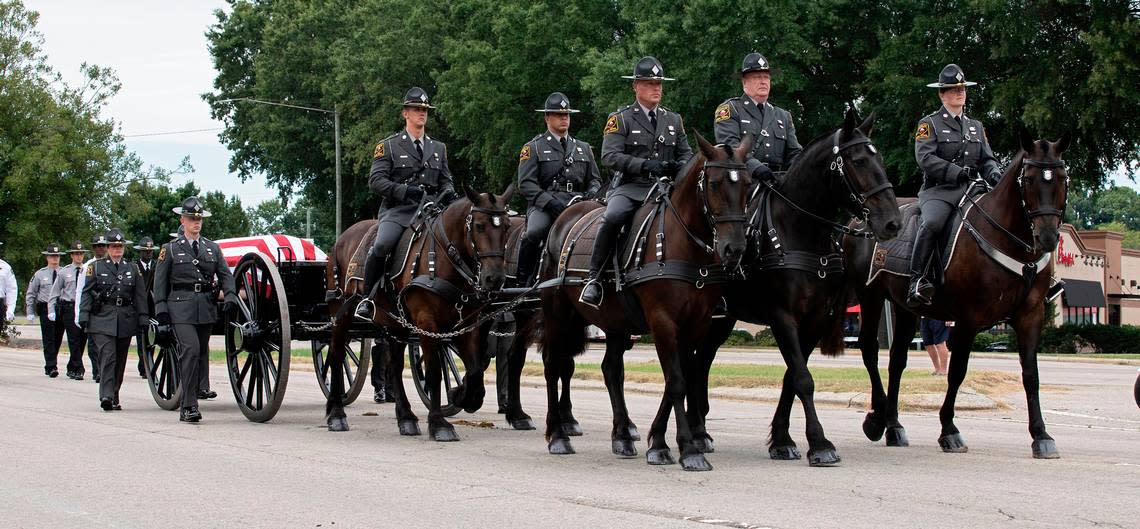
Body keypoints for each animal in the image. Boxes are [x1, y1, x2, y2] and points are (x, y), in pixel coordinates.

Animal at [323, 183, 515, 440]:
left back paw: (406, 417)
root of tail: (341, 239)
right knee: (336, 355)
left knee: (393, 363)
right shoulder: (427, 323)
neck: (444, 257)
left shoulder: (464, 325)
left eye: (506, 226)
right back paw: (336, 413)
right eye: (479, 226)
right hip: (341, 314)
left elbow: (475, 369)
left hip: (395, 323)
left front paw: (460, 394)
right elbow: (434, 370)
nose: (494, 279)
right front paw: (439, 422)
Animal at [538, 131, 752, 471]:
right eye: (715, 183)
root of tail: (563, 219)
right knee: (553, 364)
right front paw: (688, 450)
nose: (734, 249)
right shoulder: (663, 321)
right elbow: (676, 381)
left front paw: (660, 442)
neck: (684, 245)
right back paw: (558, 435)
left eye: (747, 183)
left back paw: (622, 436)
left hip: (614, 321)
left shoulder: (697, 323)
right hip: (558, 313)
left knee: (611, 369)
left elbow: (678, 378)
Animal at [688, 109, 902, 465]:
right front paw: (819, 443)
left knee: (701, 361)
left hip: (722, 320)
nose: (892, 222)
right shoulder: (782, 316)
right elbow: (803, 378)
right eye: (858, 161)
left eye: (881, 159)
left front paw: (782, 439)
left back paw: (700, 431)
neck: (801, 231)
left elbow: (793, 377)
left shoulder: (815, 318)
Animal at [848, 132, 1067, 458]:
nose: (1048, 237)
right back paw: (876, 420)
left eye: (1063, 178)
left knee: (897, 361)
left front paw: (1041, 435)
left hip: (906, 308)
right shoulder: (968, 318)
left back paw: (894, 427)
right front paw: (949, 430)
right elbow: (957, 371)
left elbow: (1031, 374)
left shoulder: (1031, 315)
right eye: (1028, 179)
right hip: (871, 296)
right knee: (870, 350)